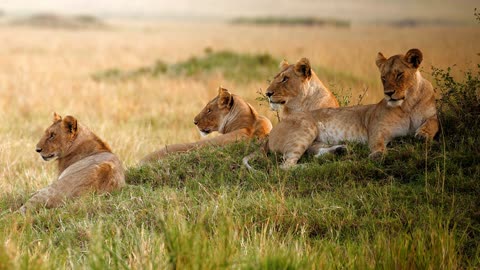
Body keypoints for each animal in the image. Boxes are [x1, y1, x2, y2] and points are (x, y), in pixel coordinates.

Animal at [244, 48, 438, 169]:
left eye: (285, 79)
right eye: (383, 77)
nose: (268, 93)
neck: (407, 104)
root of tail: (270, 136)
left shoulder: (431, 116)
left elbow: (432, 123)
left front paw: (423, 135)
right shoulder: (376, 130)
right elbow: (378, 144)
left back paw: (340, 150)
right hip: (305, 130)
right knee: (286, 166)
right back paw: (310, 166)